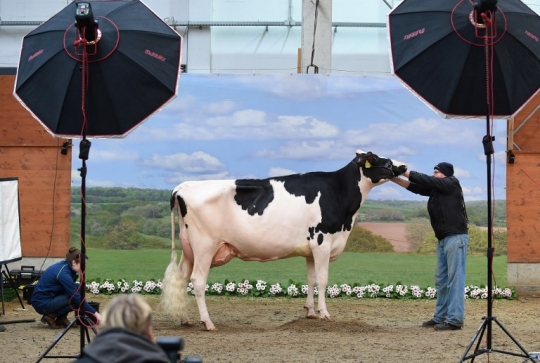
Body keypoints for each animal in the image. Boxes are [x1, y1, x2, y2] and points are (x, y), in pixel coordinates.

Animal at [160, 149, 404, 332]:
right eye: (383, 160)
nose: (403, 166)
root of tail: (184, 186)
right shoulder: (322, 242)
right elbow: (323, 280)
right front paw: (325, 314)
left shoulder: (311, 249)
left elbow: (311, 280)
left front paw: (310, 312)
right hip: (204, 246)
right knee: (198, 281)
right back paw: (208, 323)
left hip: (189, 249)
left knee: (182, 278)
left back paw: (185, 319)